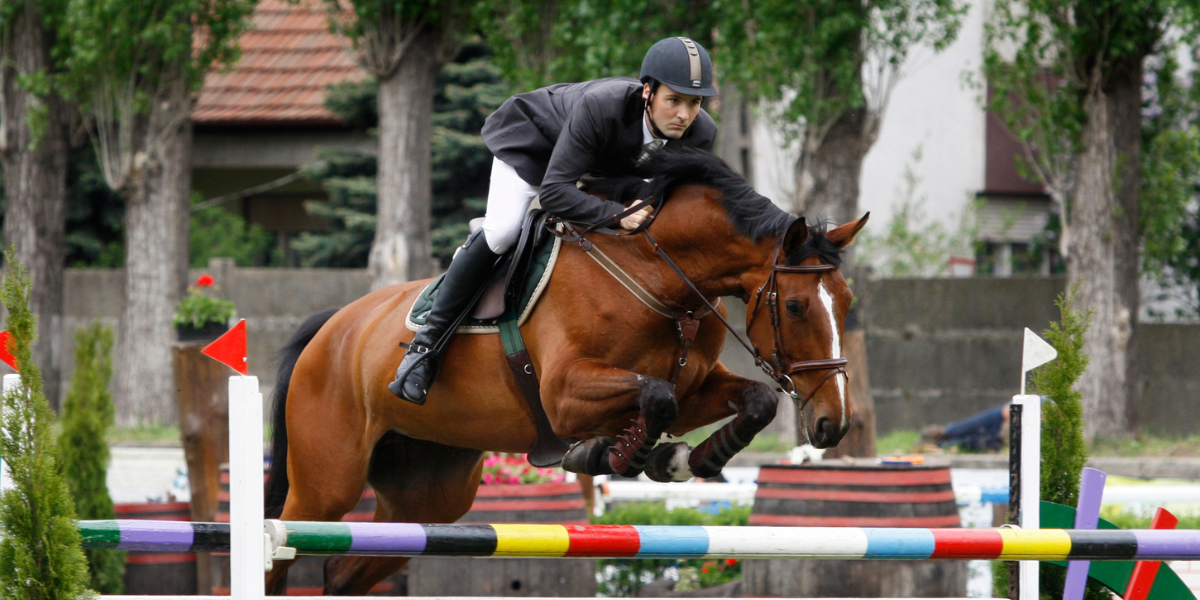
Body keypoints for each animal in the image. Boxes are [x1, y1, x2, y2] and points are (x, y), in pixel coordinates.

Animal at [263, 147, 868, 594]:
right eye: (796, 307)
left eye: (846, 302)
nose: (831, 424)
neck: (655, 272)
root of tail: (330, 327)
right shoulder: (564, 394)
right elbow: (655, 397)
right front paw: (613, 455)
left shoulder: (694, 385)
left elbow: (749, 400)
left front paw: (687, 459)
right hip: (326, 483)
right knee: (283, 550)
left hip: (428, 493)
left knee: (342, 571)